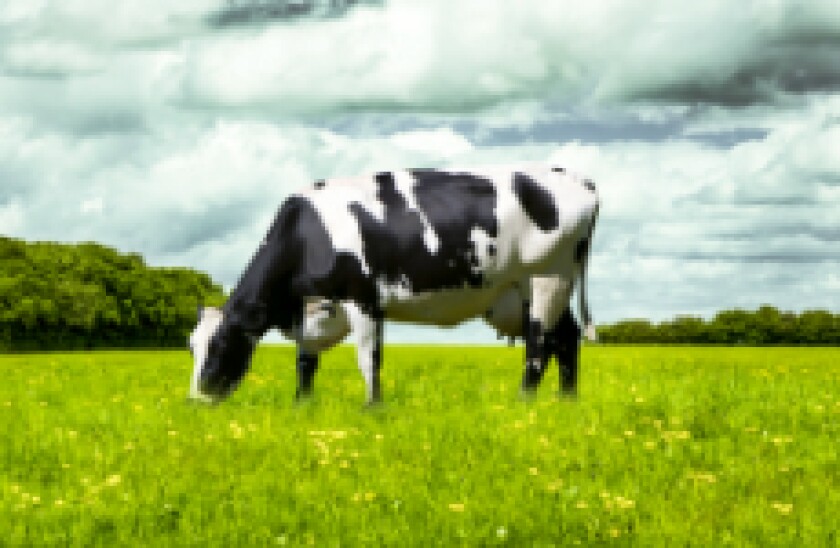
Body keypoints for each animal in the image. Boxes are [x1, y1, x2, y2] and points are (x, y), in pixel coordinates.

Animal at [188, 164, 599, 404]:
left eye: (221, 344)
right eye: (191, 347)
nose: (195, 399)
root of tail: (575, 177)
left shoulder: (363, 297)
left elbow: (368, 358)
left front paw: (373, 407)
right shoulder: (313, 307)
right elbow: (306, 361)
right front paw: (302, 404)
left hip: (547, 277)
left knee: (539, 344)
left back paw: (523, 402)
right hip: (530, 289)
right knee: (566, 337)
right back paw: (567, 400)